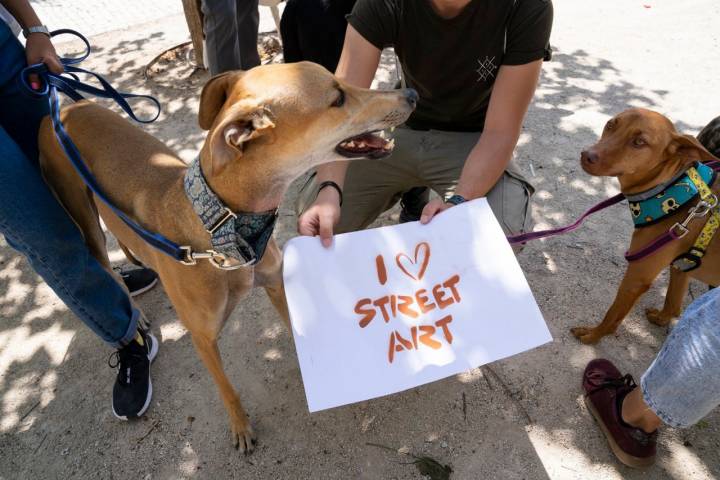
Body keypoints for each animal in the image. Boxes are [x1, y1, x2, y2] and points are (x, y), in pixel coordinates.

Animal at [38, 62, 416, 452]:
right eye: (337, 98)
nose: (412, 94)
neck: (224, 229)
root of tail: (61, 109)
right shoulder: (202, 338)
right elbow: (226, 388)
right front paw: (241, 427)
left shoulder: (276, 285)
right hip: (82, 217)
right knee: (103, 266)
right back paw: (135, 313)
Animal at [572, 107, 716, 344]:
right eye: (610, 124)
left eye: (639, 142)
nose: (586, 154)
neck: (672, 189)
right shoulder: (680, 267)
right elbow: (673, 304)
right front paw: (661, 319)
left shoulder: (636, 278)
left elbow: (612, 317)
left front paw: (593, 335)